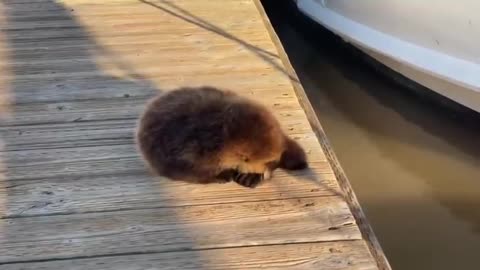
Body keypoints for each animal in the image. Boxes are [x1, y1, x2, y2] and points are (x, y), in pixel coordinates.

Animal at [135, 86, 308, 188]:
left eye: (270, 161)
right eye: (245, 159)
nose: (262, 173)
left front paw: (250, 177)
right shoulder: (191, 155)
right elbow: (196, 172)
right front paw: (226, 176)